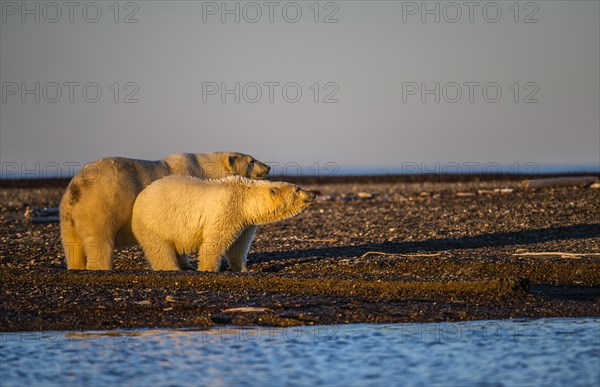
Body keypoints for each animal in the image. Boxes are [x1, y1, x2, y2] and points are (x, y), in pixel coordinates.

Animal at [59, 152, 270, 270]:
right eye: (252, 161)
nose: (268, 166)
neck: (207, 168)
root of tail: (76, 190)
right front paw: (186, 264)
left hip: (67, 218)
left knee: (72, 245)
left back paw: (76, 266)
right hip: (103, 206)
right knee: (100, 240)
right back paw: (102, 267)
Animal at [131, 176, 316, 272]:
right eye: (298, 188)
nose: (313, 193)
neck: (245, 199)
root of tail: (141, 195)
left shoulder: (245, 221)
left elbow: (239, 245)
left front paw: (242, 269)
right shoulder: (228, 209)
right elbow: (216, 240)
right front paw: (208, 269)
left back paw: (186, 266)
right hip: (155, 221)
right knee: (160, 248)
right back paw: (172, 268)